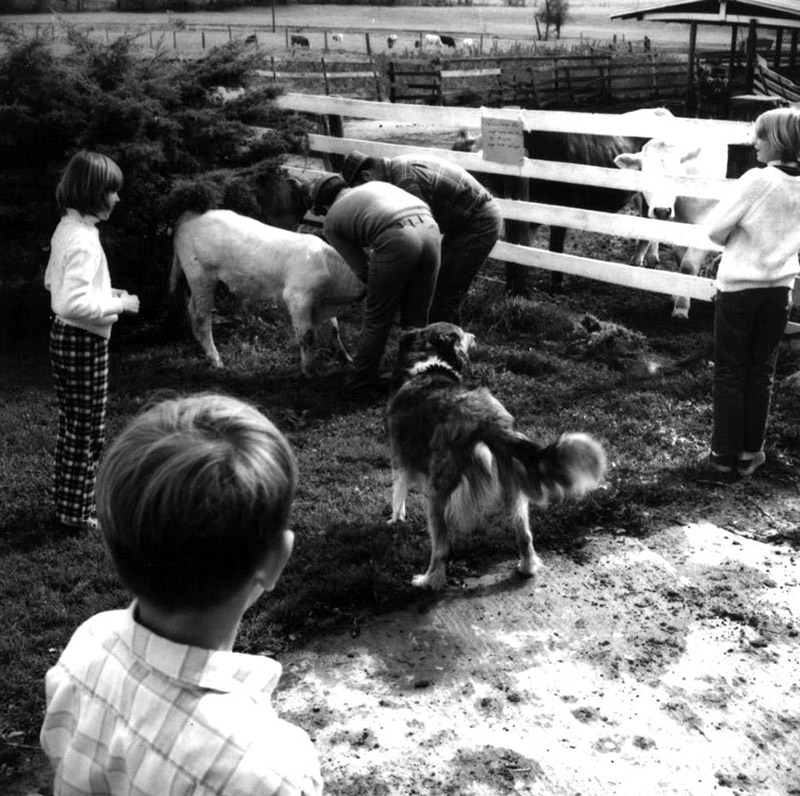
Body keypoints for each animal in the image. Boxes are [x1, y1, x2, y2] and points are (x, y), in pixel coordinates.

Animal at [173, 210, 368, 374]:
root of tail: (191, 218)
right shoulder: (298, 298)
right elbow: (307, 336)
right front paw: (309, 370)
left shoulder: (322, 302)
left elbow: (334, 329)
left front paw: (346, 358)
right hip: (200, 276)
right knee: (202, 318)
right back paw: (216, 360)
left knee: (192, 310)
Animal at [388, 320, 608, 588]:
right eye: (461, 333)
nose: (474, 336)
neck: (432, 363)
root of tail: (489, 421)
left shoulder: (399, 455)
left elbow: (398, 493)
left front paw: (395, 520)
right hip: (513, 483)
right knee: (525, 535)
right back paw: (527, 567)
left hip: (438, 491)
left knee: (441, 549)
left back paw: (427, 580)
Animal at [616, 134, 728, 318]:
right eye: (645, 173)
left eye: (677, 176)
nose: (662, 211)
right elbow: (680, 259)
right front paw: (677, 296)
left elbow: (688, 266)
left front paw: (681, 308)